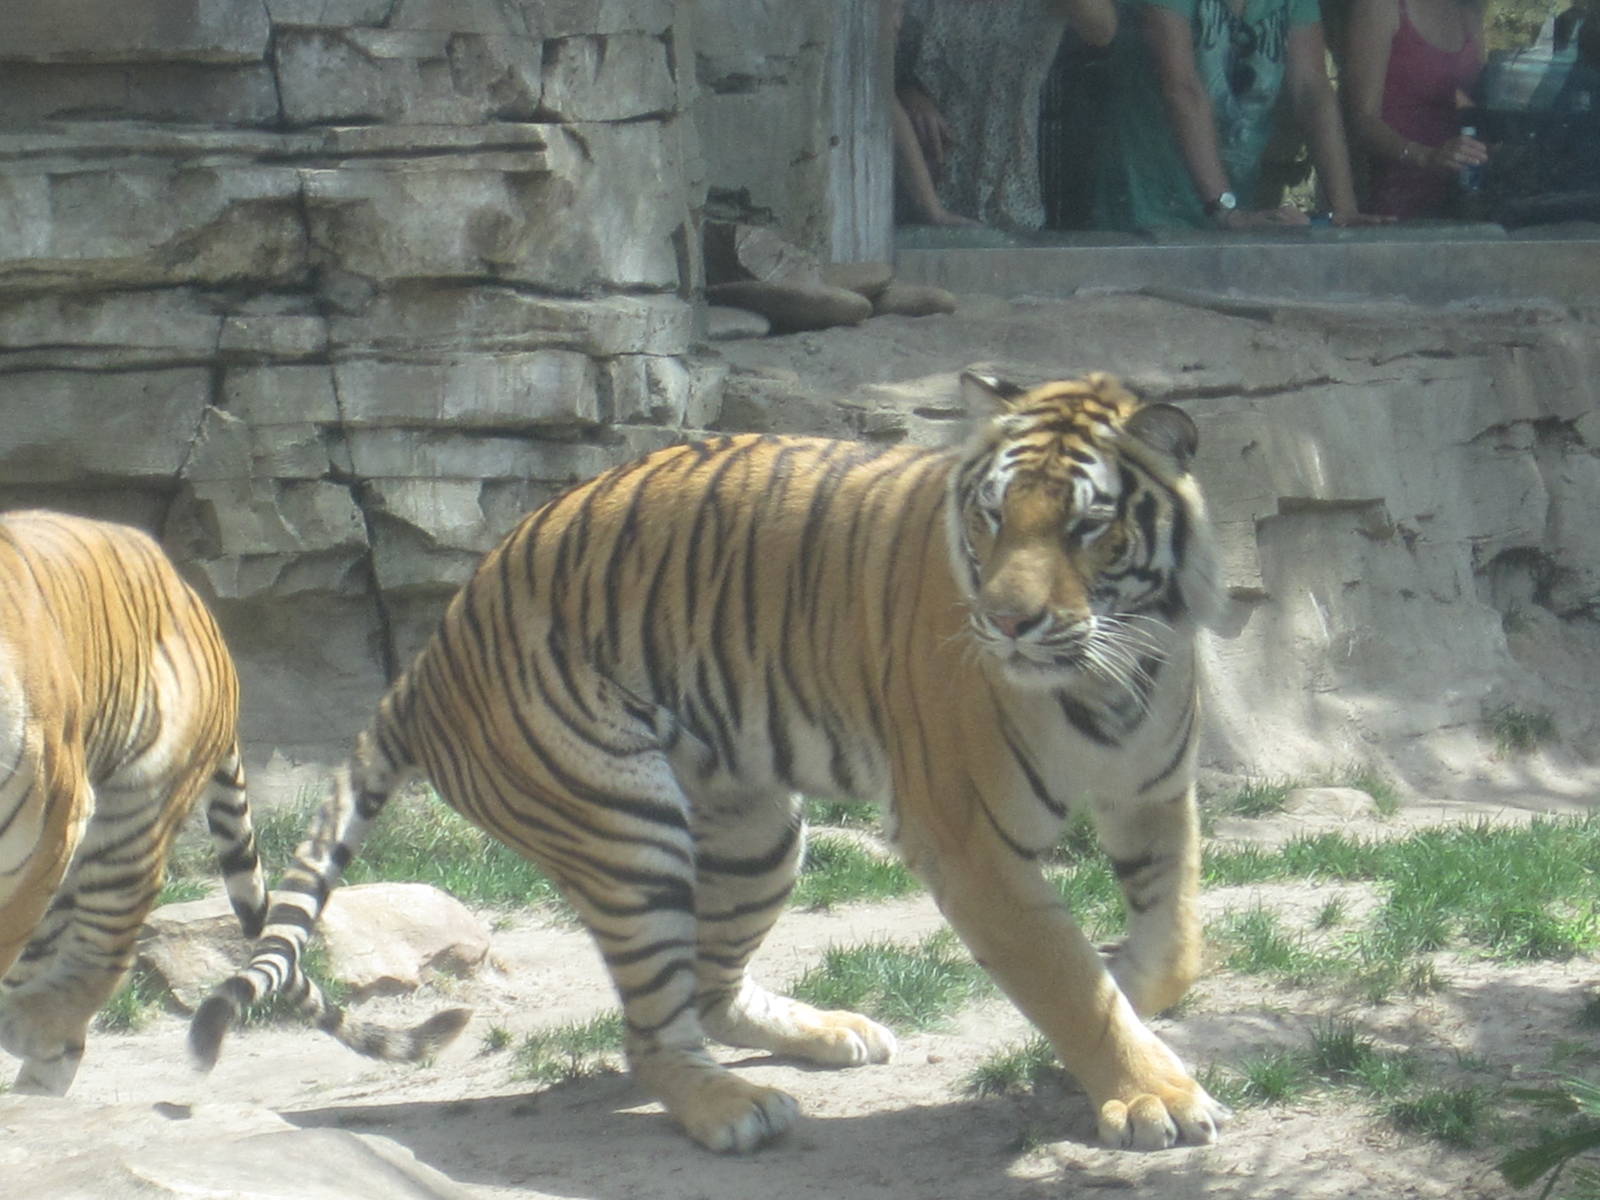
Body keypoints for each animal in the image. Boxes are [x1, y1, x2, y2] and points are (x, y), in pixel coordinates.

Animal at [191, 370, 1229, 1153]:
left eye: (1087, 526)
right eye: (992, 518)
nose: (1008, 622)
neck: (1117, 668)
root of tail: (430, 656)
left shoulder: (1153, 789)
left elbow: (1176, 937)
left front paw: (1137, 990)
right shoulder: (970, 842)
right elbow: (1063, 979)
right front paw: (1154, 1096)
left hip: (755, 831)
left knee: (710, 988)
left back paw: (831, 1032)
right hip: (624, 828)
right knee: (650, 1030)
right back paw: (736, 1109)